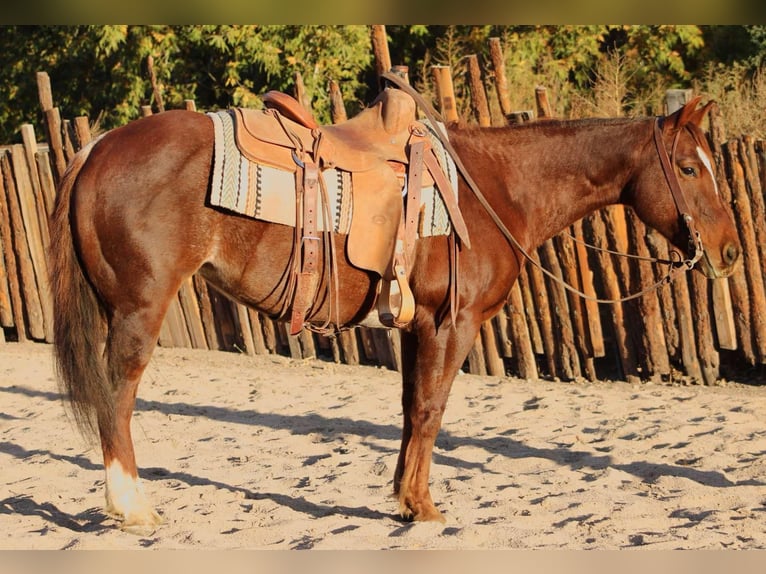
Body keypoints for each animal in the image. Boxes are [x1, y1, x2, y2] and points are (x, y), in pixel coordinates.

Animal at [49, 92, 741, 531]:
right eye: (687, 167)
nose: (730, 252)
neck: (495, 188)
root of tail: (98, 147)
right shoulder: (452, 325)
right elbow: (433, 412)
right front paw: (424, 508)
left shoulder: (416, 327)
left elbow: (411, 410)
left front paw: (405, 501)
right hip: (139, 310)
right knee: (117, 396)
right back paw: (132, 508)